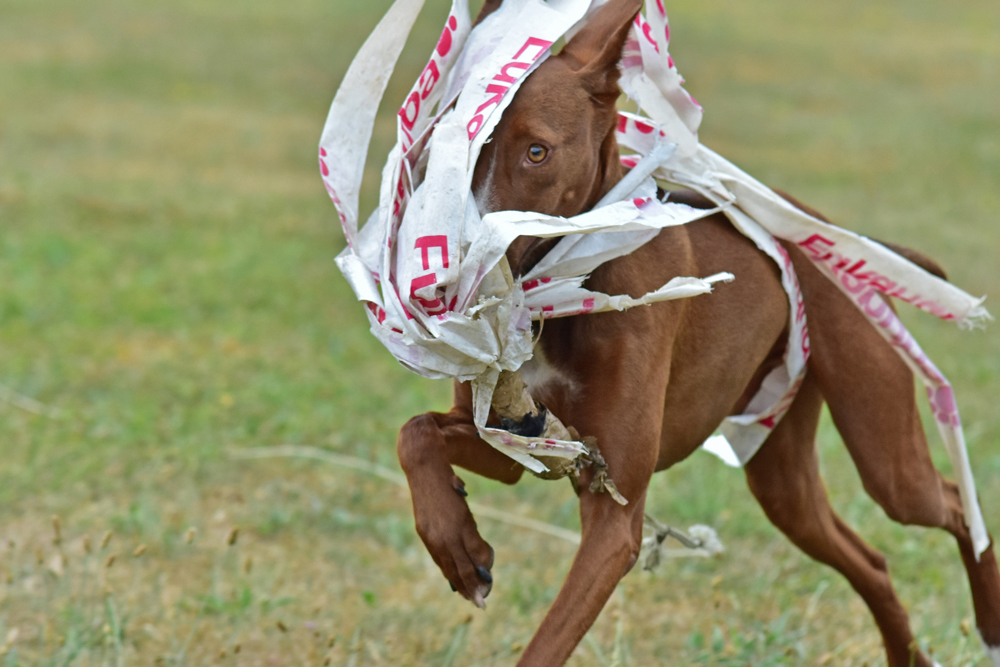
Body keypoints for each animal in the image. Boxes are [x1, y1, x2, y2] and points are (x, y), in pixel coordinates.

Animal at [394, 2, 996, 664]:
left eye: (536, 152)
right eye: (446, 143)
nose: (445, 282)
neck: (572, 284)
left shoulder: (614, 517)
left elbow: (546, 646)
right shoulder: (527, 444)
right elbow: (415, 433)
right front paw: (458, 545)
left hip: (887, 459)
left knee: (955, 506)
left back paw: (988, 622)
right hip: (785, 484)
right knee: (873, 562)